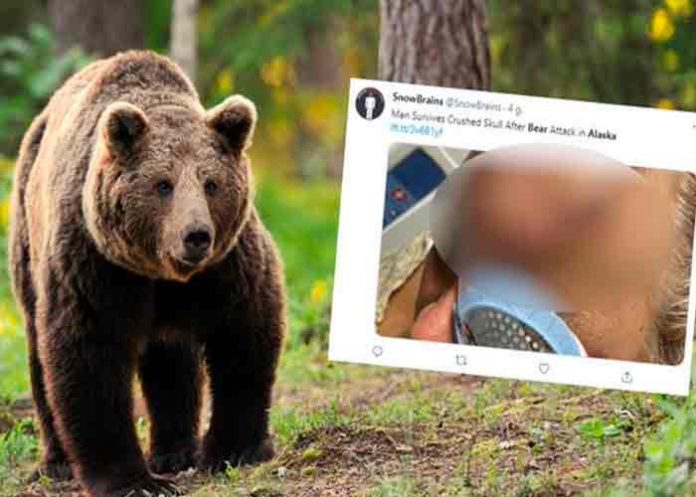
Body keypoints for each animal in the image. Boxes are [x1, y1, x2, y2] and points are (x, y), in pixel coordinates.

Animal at [9, 50, 285, 497]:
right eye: (163, 184)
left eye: (211, 183)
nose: (196, 235)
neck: (159, 271)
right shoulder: (95, 265)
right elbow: (89, 358)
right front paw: (130, 478)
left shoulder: (227, 265)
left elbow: (245, 334)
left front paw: (235, 449)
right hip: (26, 237)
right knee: (39, 351)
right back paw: (57, 462)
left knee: (171, 359)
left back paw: (175, 451)